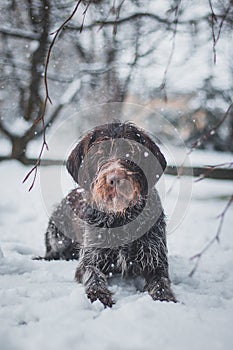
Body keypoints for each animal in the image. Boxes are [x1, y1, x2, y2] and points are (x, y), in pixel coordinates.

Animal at [41, 122, 176, 306]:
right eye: (99, 153)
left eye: (131, 151)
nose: (115, 178)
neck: (121, 217)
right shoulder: (90, 258)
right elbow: (93, 274)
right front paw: (99, 295)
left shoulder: (155, 259)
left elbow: (161, 281)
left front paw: (165, 298)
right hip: (58, 235)